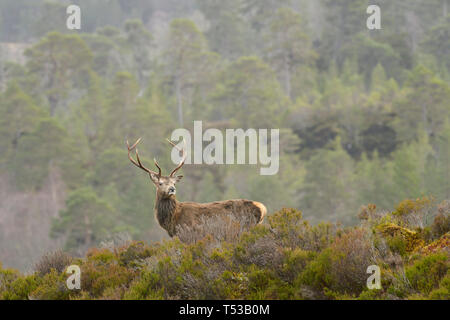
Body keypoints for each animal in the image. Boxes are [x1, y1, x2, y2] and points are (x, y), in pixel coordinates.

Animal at [125, 136, 268, 239]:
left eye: (173, 183)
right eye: (160, 183)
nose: (172, 189)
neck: (172, 221)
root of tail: (262, 208)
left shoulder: (190, 236)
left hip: (245, 229)